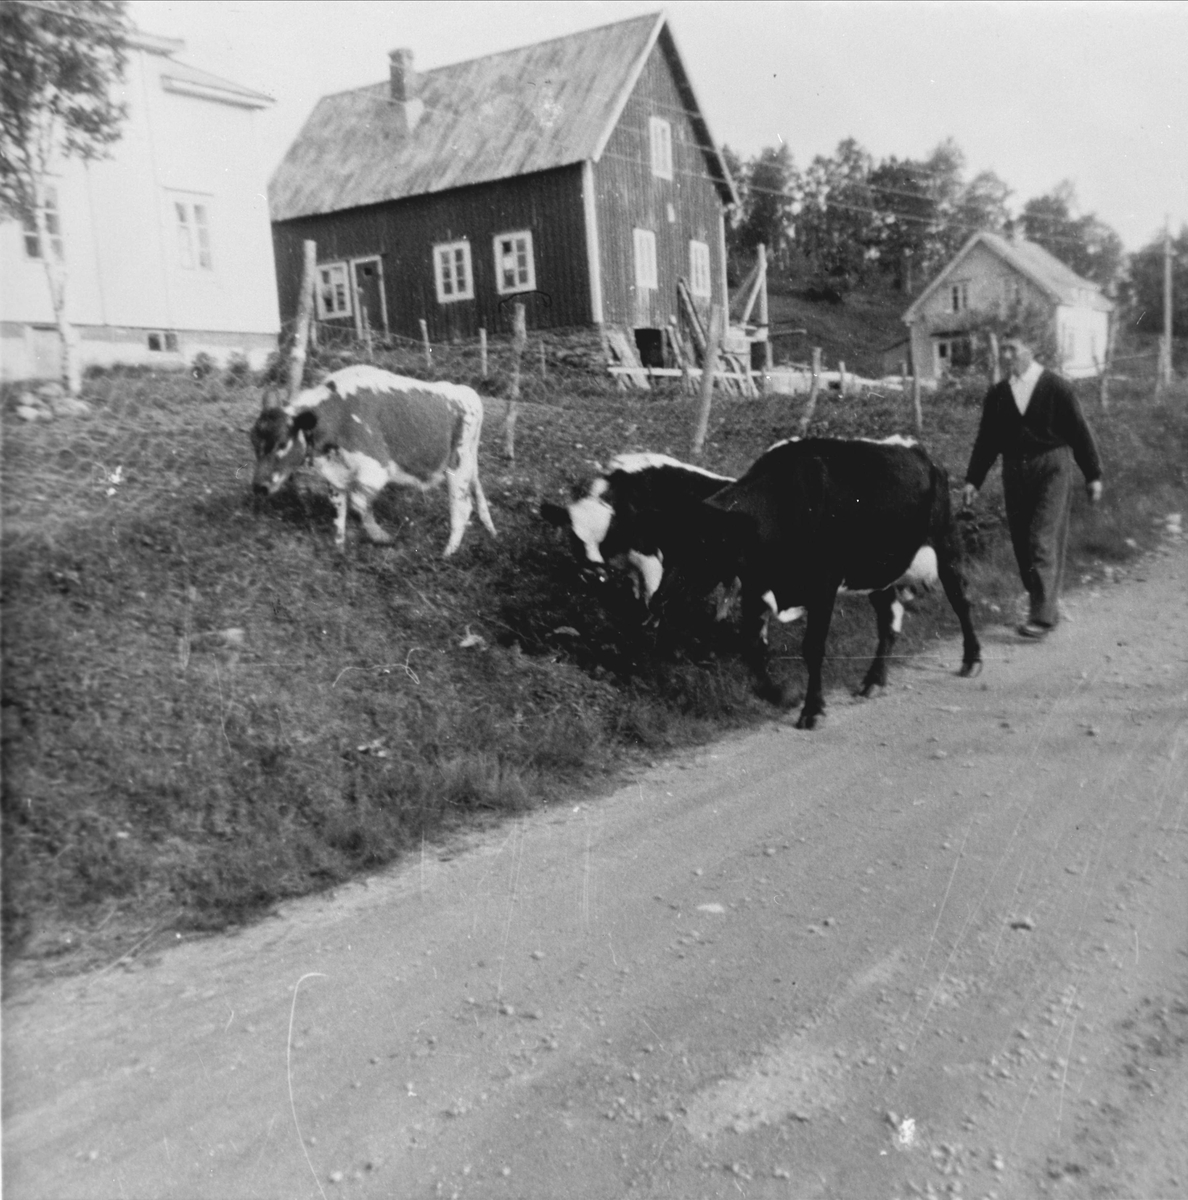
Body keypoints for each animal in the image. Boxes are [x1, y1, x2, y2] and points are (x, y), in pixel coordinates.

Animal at [248, 364, 494, 556]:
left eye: (282, 443)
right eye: (253, 441)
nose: (260, 486)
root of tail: (466, 391)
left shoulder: (376, 468)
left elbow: (359, 503)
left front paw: (381, 536)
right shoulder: (335, 476)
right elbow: (340, 511)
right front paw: (339, 549)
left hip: (458, 466)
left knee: (462, 508)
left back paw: (448, 554)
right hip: (470, 465)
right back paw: (491, 532)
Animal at [652, 436, 984, 724]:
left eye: (703, 547)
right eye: (666, 548)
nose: (659, 602)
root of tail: (916, 449)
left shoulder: (823, 585)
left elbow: (812, 647)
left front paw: (812, 710)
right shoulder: (757, 586)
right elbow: (752, 647)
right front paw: (781, 694)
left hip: (946, 542)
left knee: (960, 599)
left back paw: (971, 659)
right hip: (877, 572)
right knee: (889, 620)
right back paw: (873, 681)